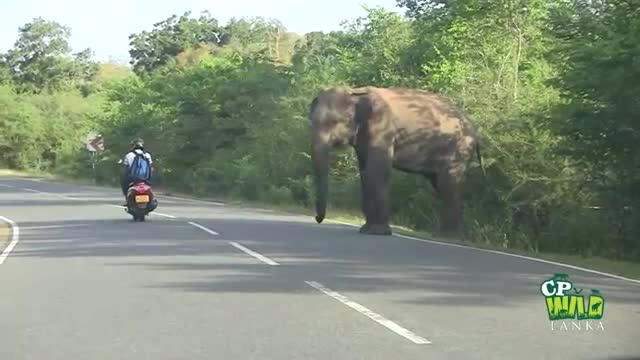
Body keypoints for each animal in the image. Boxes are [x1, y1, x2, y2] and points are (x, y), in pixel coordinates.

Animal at [308, 86, 482, 239]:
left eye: (334, 122)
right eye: (311, 121)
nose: (318, 219)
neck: (354, 92)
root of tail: (474, 129)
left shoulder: (382, 129)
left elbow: (377, 172)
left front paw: (377, 232)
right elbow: (365, 174)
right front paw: (366, 230)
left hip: (459, 149)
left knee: (448, 185)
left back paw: (448, 236)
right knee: (442, 186)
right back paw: (453, 236)